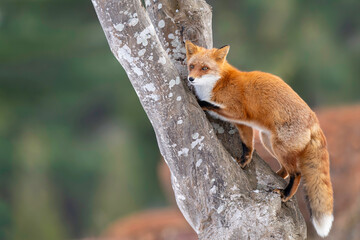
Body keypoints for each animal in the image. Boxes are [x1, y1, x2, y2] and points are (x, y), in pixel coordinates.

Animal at [186, 40, 334, 237]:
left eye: (204, 68)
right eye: (192, 66)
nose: (190, 79)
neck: (219, 83)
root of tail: (314, 119)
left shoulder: (237, 112)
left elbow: (211, 105)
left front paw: (201, 102)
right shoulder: (243, 123)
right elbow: (247, 145)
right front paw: (244, 160)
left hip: (279, 146)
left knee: (297, 173)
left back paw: (286, 194)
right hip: (268, 140)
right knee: (286, 170)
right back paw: (277, 175)